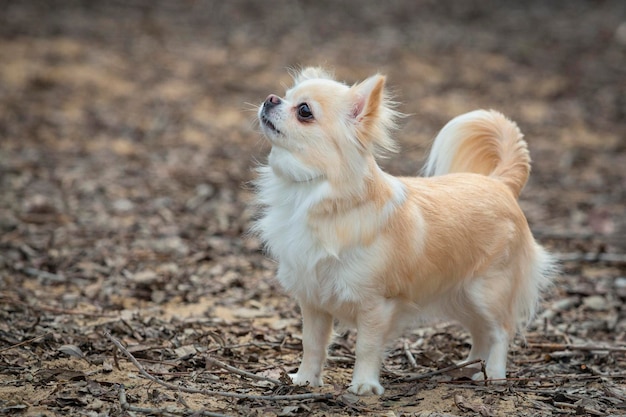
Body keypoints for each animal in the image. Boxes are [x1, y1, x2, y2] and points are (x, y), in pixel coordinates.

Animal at [251, 67, 552, 394]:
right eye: (285, 95)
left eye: (304, 111)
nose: (270, 98)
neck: (310, 194)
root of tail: (500, 183)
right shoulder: (313, 300)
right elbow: (312, 344)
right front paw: (304, 380)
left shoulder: (375, 305)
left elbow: (366, 347)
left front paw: (364, 385)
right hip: (461, 296)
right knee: (480, 331)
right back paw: (469, 367)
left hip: (487, 291)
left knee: (500, 331)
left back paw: (494, 373)